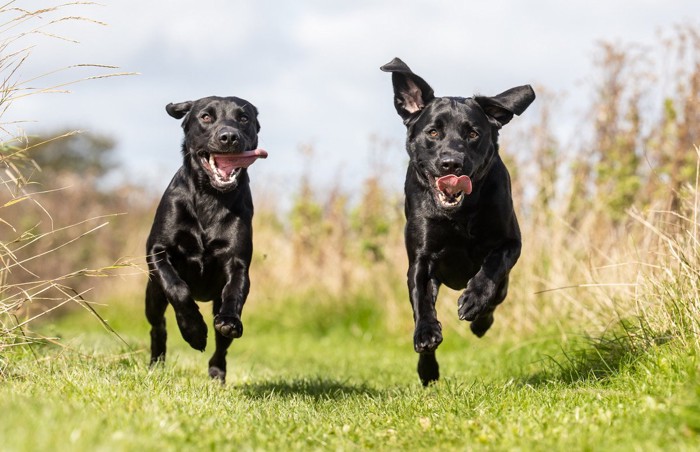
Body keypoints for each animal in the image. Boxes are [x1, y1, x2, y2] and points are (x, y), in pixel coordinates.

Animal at [145, 95, 268, 382]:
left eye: (243, 118)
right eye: (206, 116)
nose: (229, 136)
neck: (209, 196)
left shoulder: (237, 262)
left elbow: (234, 292)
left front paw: (228, 322)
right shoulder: (156, 250)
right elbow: (177, 288)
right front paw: (194, 331)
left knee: (221, 347)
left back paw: (217, 372)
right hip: (152, 296)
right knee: (158, 326)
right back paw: (157, 364)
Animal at [380, 58, 532, 386]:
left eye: (473, 133)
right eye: (433, 133)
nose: (451, 164)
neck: (459, 214)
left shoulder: (511, 242)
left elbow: (492, 267)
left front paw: (474, 301)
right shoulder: (421, 258)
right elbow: (421, 301)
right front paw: (426, 335)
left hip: (505, 285)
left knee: (497, 296)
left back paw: (480, 321)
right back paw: (427, 370)